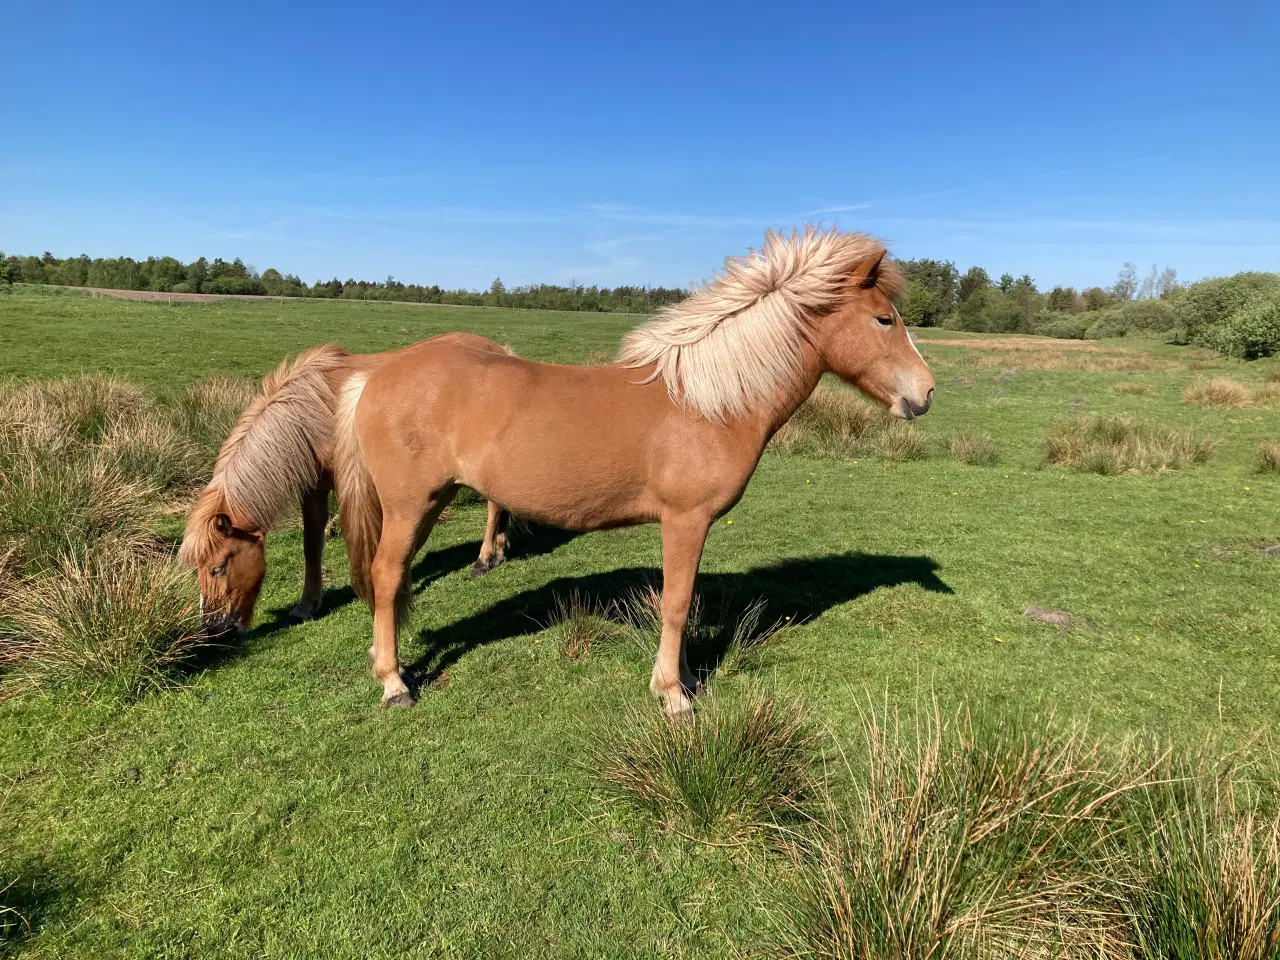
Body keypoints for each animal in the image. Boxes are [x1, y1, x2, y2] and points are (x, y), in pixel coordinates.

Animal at [176, 343, 514, 634]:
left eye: (218, 567)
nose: (212, 628)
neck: (313, 414)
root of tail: (499, 349)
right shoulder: (313, 490)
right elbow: (311, 546)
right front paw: (306, 605)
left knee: (494, 505)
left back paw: (484, 559)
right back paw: (499, 549)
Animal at [330, 229, 931, 716]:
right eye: (884, 318)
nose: (924, 393)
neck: (707, 402)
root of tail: (375, 375)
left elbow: (683, 601)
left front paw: (688, 680)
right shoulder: (685, 520)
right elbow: (678, 603)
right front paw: (672, 695)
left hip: (429, 502)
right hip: (411, 504)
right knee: (387, 575)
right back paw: (393, 683)